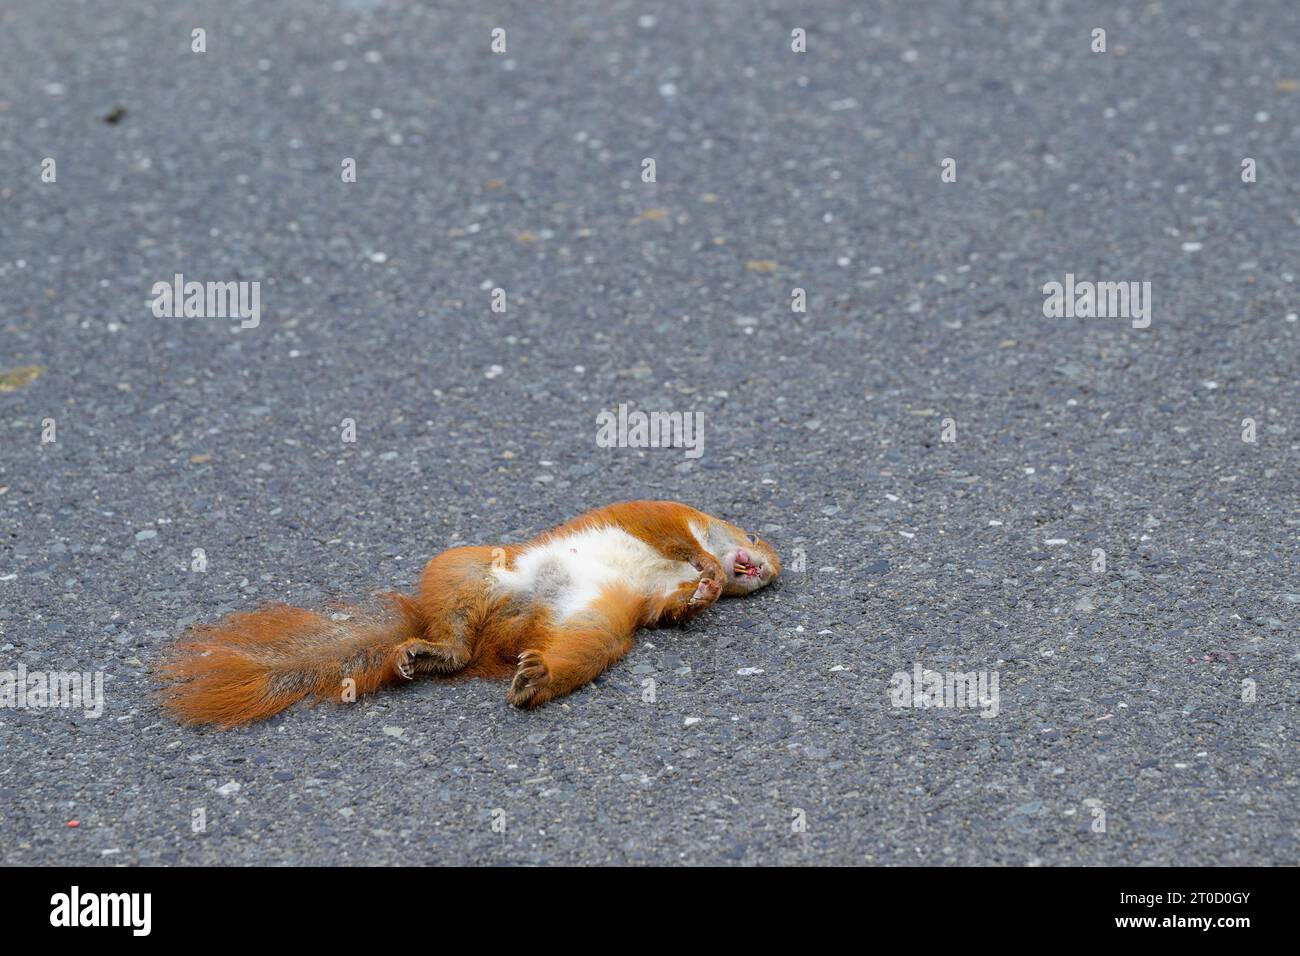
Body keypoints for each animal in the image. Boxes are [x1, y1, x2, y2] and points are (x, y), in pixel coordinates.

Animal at [160, 500, 780, 726]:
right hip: (463, 569)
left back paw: (532, 677)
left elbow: (670, 605)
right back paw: (427, 651)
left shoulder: (657, 598)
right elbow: (680, 539)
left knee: (563, 655)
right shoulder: (659, 515)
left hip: (594, 626)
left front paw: (702, 595)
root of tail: (506, 634)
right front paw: (710, 572)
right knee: (454, 638)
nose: (768, 569)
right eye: (753, 535)